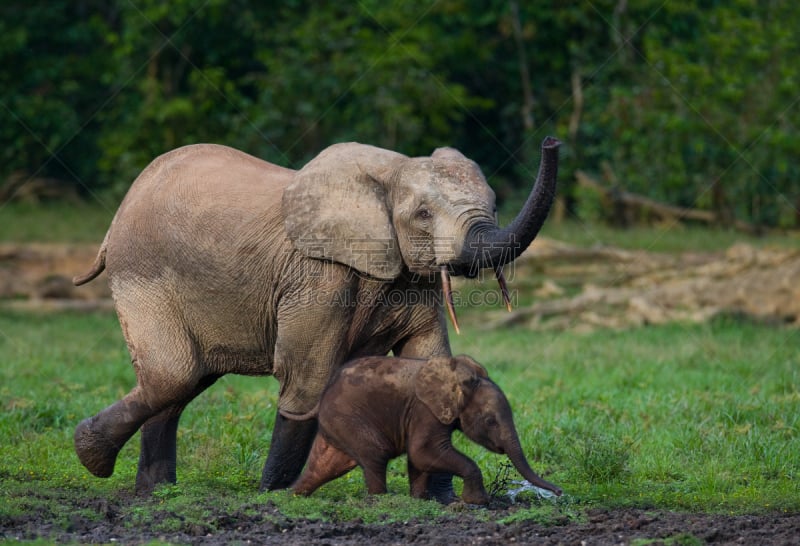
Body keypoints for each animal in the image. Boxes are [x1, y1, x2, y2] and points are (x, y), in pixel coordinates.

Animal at [290, 352, 564, 502]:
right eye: (490, 421)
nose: (560, 492)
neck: (460, 378)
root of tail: (324, 395)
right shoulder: (425, 411)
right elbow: (423, 452)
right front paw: (477, 502)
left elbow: (420, 459)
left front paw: (420, 501)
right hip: (348, 418)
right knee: (376, 453)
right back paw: (380, 501)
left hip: (337, 424)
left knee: (325, 466)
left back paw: (292, 495)